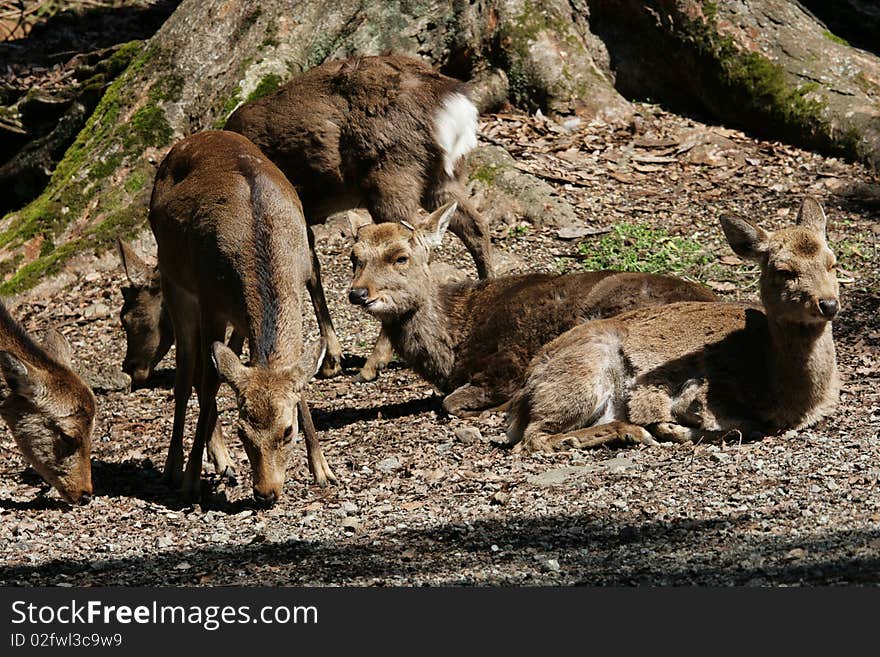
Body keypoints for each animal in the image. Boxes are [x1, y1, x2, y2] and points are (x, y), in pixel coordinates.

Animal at [149, 131, 334, 504]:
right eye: (242, 430)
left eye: (288, 430)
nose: (266, 492)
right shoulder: (210, 302)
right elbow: (207, 383)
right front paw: (192, 480)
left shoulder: (302, 281)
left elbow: (296, 374)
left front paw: (323, 469)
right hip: (174, 281)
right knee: (186, 372)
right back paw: (177, 467)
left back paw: (221, 462)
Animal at [223, 53, 496, 382]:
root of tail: (453, 103)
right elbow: (313, 268)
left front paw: (330, 359)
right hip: (442, 176)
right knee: (477, 225)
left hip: (391, 171)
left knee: (416, 240)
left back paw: (373, 362)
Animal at [502, 195, 840, 452]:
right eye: (784, 271)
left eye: (832, 263)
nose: (828, 303)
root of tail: (523, 394)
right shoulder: (699, 390)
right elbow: (735, 425)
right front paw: (673, 428)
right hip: (583, 373)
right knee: (533, 437)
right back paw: (627, 433)